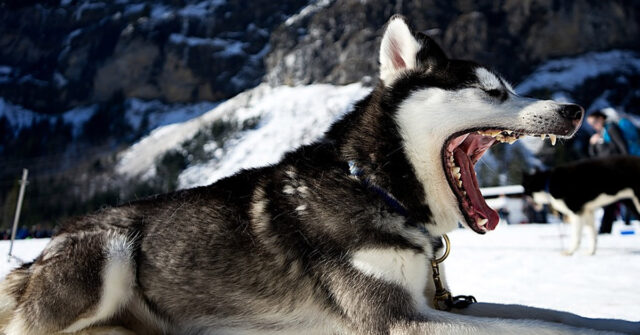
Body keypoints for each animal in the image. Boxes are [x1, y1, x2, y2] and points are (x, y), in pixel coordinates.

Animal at [2, 15, 636, 335]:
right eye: (493, 91)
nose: (574, 109)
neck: (378, 185)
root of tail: (44, 251)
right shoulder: (395, 317)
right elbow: (538, 329)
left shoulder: (438, 301)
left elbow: (557, 316)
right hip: (108, 249)